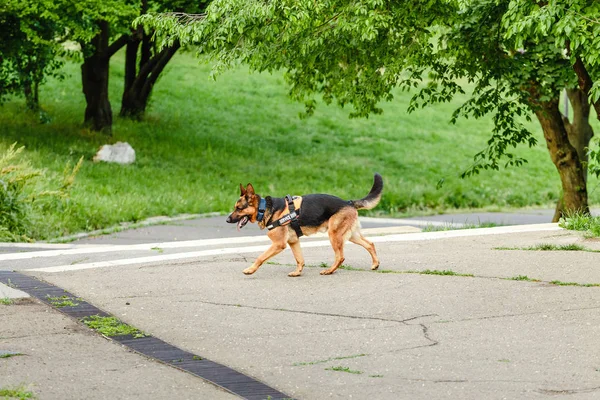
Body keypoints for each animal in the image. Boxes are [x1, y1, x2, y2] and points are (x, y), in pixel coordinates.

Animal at [225, 173, 384, 276]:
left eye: (238, 208)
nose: (227, 220)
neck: (264, 209)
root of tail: (348, 202)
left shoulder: (278, 244)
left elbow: (260, 257)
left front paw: (250, 269)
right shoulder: (293, 241)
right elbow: (299, 259)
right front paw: (297, 272)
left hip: (334, 235)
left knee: (340, 257)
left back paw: (329, 271)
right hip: (350, 235)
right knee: (370, 244)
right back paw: (375, 264)